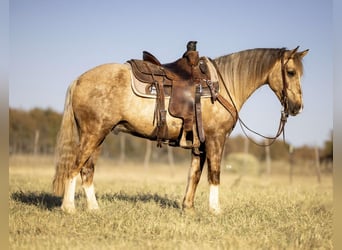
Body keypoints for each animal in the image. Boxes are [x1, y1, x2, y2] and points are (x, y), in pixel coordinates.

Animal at [53, 46, 310, 213]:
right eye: (290, 72)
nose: (297, 107)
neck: (221, 85)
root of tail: (79, 80)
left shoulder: (200, 143)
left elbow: (194, 174)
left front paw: (188, 209)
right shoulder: (216, 139)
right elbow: (214, 174)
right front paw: (215, 210)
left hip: (99, 136)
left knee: (87, 170)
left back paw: (94, 209)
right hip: (93, 134)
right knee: (74, 167)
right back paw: (69, 208)